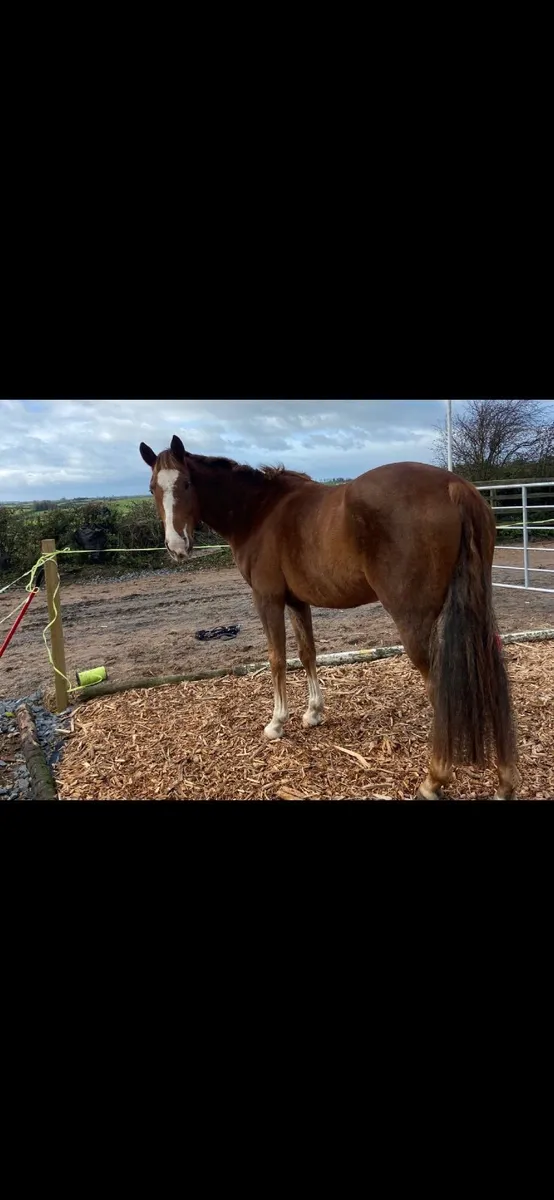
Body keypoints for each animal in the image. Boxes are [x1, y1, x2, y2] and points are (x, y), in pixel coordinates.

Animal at [139, 434, 519, 800]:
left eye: (187, 483)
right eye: (153, 487)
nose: (177, 546)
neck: (259, 511)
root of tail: (454, 486)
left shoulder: (268, 599)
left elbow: (277, 658)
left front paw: (277, 723)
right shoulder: (297, 602)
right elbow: (307, 653)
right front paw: (313, 712)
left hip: (413, 620)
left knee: (438, 686)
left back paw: (434, 779)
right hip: (478, 612)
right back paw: (505, 781)